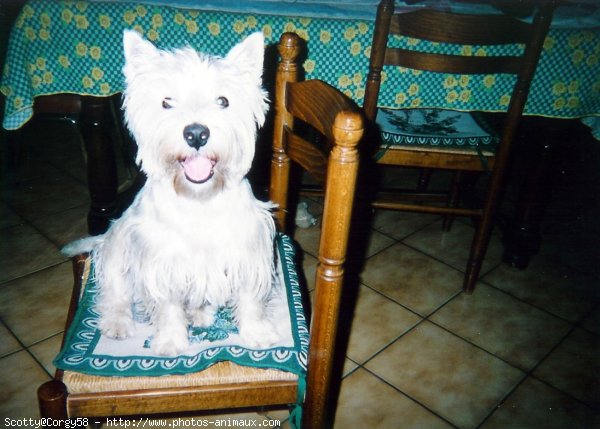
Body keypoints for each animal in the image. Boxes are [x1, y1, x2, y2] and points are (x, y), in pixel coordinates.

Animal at [65, 30, 278, 354]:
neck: (199, 200)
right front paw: (170, 342)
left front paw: (257, 333)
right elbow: (167, 306)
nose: (196, 133)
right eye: (166, 102)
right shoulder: (159, 262)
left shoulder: (247, 251)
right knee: (114, 293)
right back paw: (117, 323)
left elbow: (250, 296)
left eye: (223, 100)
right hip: (115, 250)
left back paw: (201, 314)